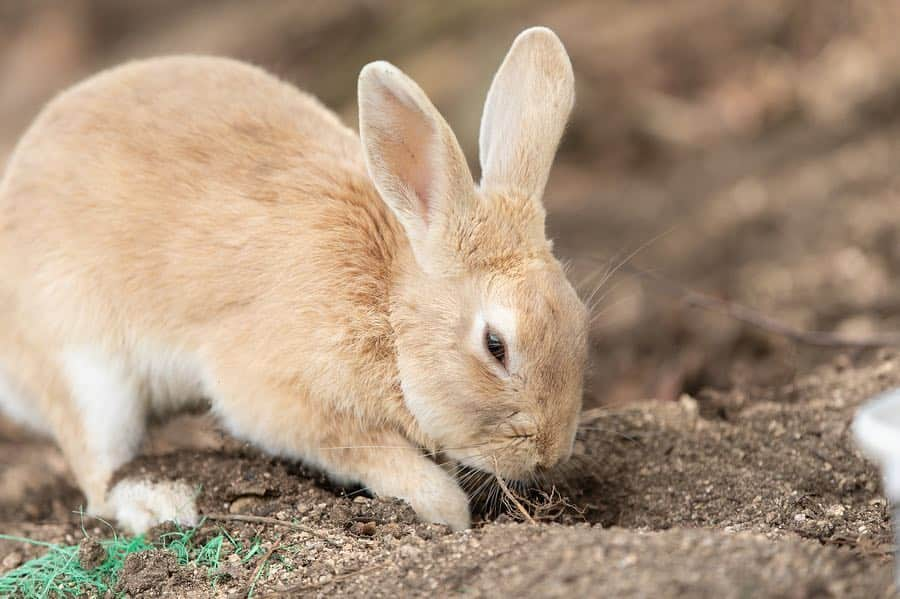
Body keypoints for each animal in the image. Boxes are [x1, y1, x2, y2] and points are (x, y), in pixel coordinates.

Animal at [0, 27, 588, 536]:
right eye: (495, 346)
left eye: (580, 320)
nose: (550, 454)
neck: (390, 309)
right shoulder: (276, 394)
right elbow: (367, 450)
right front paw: (444, 508)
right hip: (86, 371)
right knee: (97, 477)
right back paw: (159, 503)